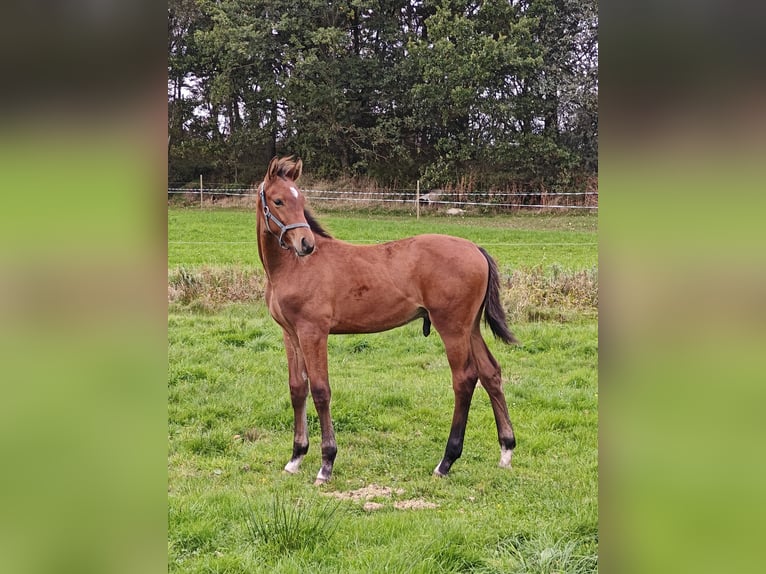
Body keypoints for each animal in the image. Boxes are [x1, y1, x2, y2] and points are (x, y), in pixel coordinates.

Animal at [256, 156, 519, 485]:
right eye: (278, 201)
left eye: (301, 200)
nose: (306, 243)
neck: (292, 268)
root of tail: (476, 249)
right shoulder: (291, 333)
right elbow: (297, 388)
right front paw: (296, 457)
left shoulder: (313, 331)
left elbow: (320, 390)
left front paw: (326, 463)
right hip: (469, 327)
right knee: (490, 373)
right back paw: (506, 450)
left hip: (452, 327)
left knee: (465, 378)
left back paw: (446, 461)